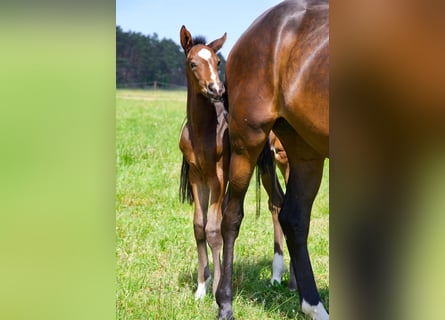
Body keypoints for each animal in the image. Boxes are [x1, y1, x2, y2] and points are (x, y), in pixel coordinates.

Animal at [217, 1, 328, 318]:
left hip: (305, 151)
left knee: (293, 218)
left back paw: (313, 305)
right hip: (248, 142)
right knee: (232, 215)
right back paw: (225, 302)